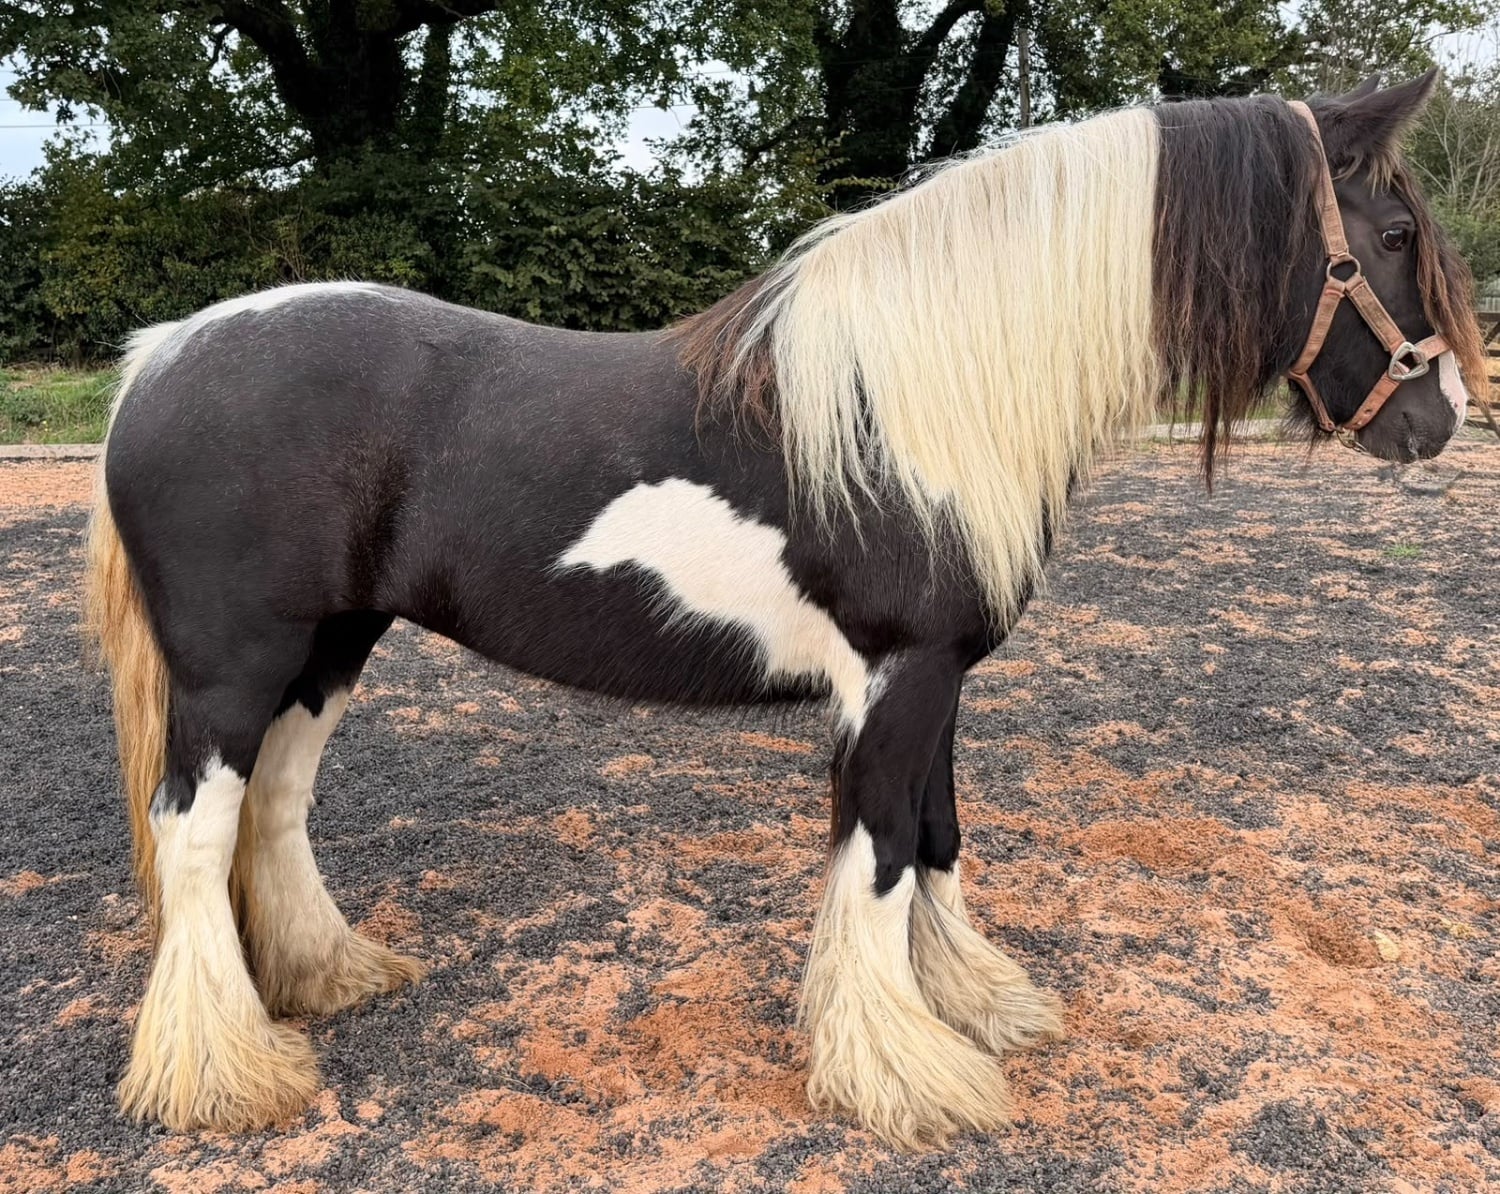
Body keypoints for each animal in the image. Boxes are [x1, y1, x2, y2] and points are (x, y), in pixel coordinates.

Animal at [83, 72, 1483, 1149]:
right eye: (1391, 238)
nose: (1442, 421)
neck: (920, 402)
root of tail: (160, 358)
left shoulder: (939, 676)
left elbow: (937, 835)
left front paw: (972, 1006)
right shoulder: (896, 676)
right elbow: (878, 851)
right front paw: (904, 1073)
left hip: (330, 648)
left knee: (275, 806)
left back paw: (326, 979)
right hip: (234, 667)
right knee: (196, 831)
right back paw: (225, 1074)